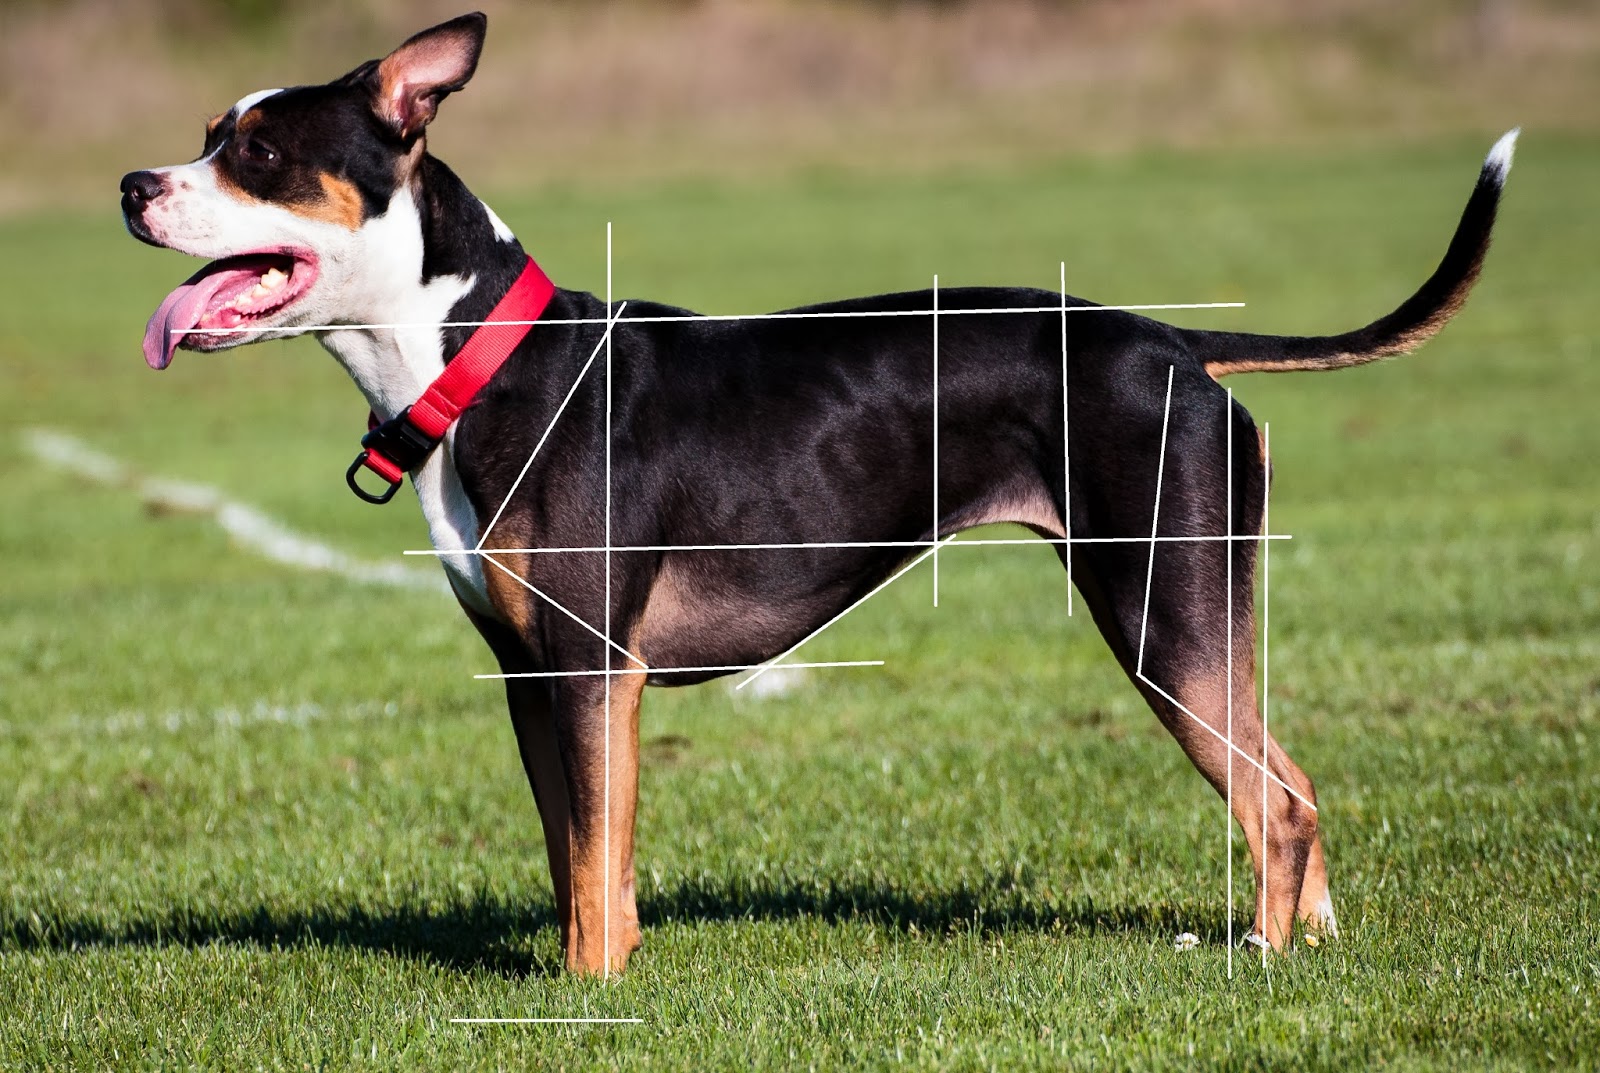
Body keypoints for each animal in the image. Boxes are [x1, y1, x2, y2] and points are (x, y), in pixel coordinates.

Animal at [120, 13, 1514, 974]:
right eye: (204, 135)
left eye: (258, 151)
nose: (132, 186)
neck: (480, 356)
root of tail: (1173, 340)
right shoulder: (542, 676)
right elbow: (588, 859)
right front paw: (607, 968)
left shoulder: (588, 667)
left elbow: (588, 865)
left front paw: (586, 992)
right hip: (1192, 614)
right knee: (1298, 784)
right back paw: (1310, 950)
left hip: (1159, 617)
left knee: (1273, 798)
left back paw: (1260, 952)